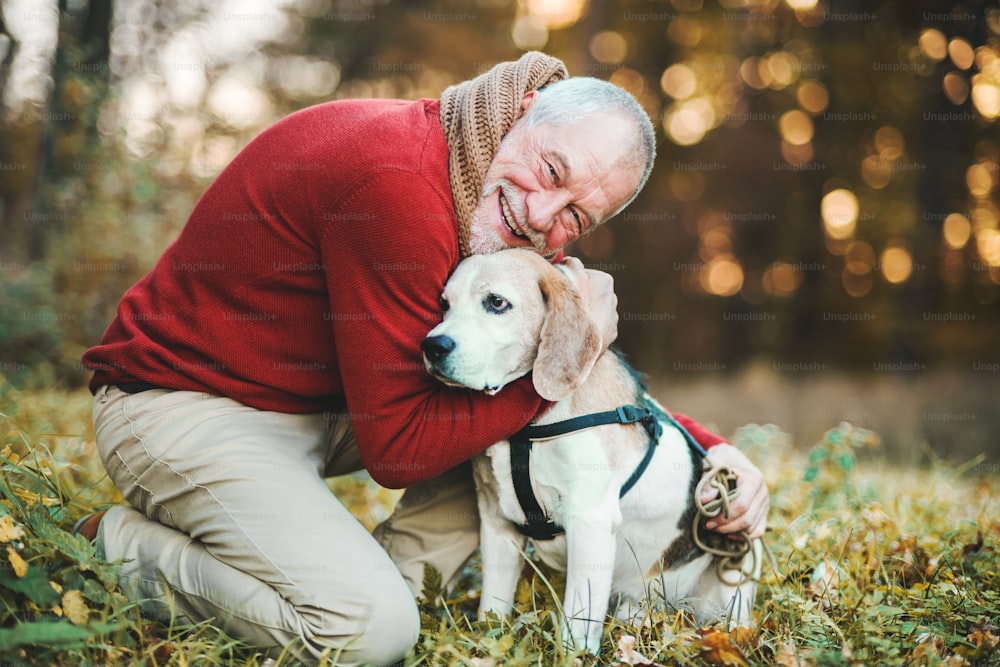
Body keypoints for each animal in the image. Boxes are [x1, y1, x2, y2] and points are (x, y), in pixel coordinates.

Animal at [420, 248, 756, 656]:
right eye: (444, 304)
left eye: (496, 302)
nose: (433, 346)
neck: (528, 428)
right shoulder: (497, 522)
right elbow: (492, 609)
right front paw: (487, 649)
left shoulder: (590, 520)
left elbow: (577, 621)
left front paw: (573, 656)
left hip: (730, 588)